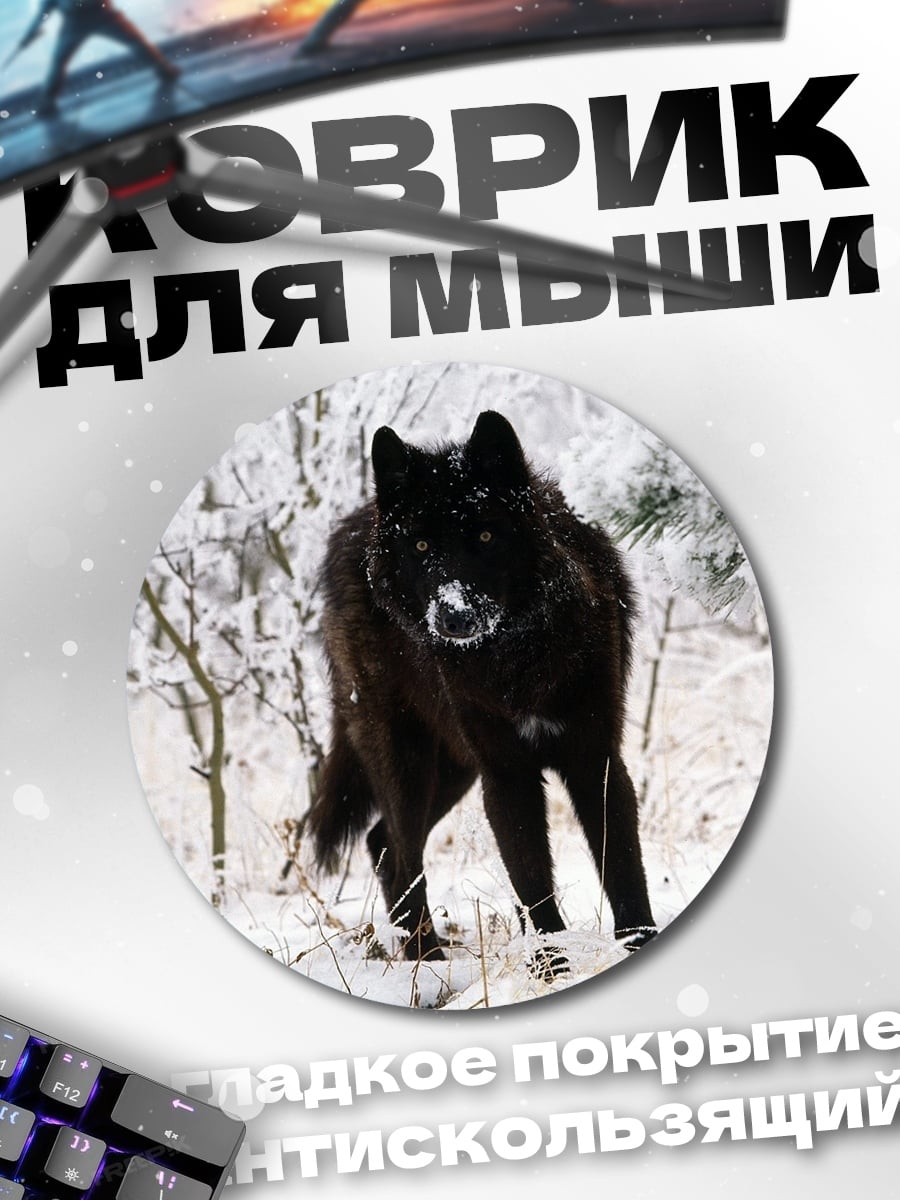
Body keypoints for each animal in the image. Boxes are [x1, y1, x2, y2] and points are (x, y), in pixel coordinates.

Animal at [307, 410, 656, 966]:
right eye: (421, 546)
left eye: (488, 537)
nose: (454, 616)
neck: (516, 660)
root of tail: (353, 525)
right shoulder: (506, 776)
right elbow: (532, 885)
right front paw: (550, 967)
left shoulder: (595, 761)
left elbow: (623, 869)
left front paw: (639, 945)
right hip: (408, 762)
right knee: (399, 851)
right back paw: (427, 962)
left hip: (453, 769)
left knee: (382, 843)